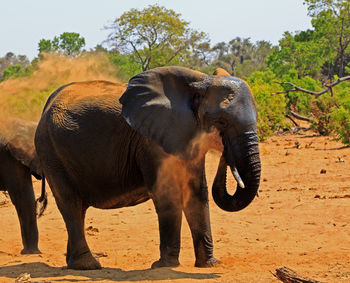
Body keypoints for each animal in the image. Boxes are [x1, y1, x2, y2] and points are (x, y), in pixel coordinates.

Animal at [35, 66, 262, 270]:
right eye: (221, 121)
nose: (226, 152)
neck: (199, 81)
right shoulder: (151, 140)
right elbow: (167, 193)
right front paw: (165, 265)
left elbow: (197, 193)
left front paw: (209, 264)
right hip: (51, 151)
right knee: (70, 203)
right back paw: (88, 266)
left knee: (78, 209)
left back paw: (73, 263)